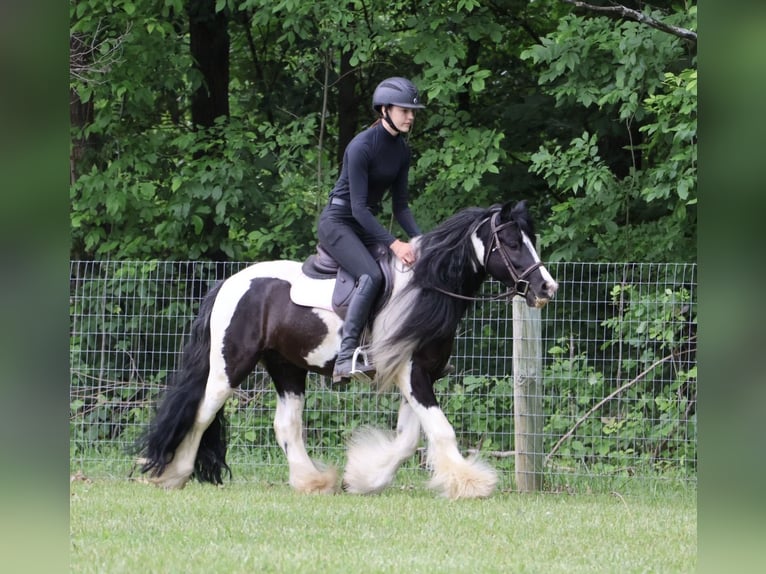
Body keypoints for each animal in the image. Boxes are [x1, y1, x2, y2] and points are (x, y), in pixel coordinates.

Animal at [136, 200, 558, 499]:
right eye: (511, 243)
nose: (546, 288)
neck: (425, 288)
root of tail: (228, 283)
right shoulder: (412, 374)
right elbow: (441, 431)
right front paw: (470, 483)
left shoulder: (416, 374)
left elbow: (409, 440)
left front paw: (365, 478)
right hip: (230, 366)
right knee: (201, 412)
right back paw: (174, 475)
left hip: (287, 366)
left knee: (286, 424)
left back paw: (312, 481)